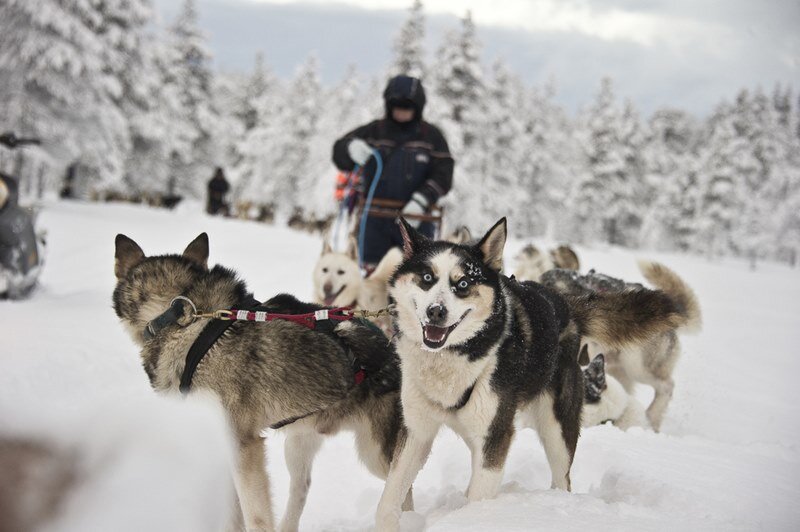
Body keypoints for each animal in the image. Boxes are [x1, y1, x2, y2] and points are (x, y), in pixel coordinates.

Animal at [112, 234, 410, 532]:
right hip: (299, 443)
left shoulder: (243, 445)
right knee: (302, 488)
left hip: (375, 453)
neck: (183, 319)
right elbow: (232, 513)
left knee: (403, 488)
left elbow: (255, 515)